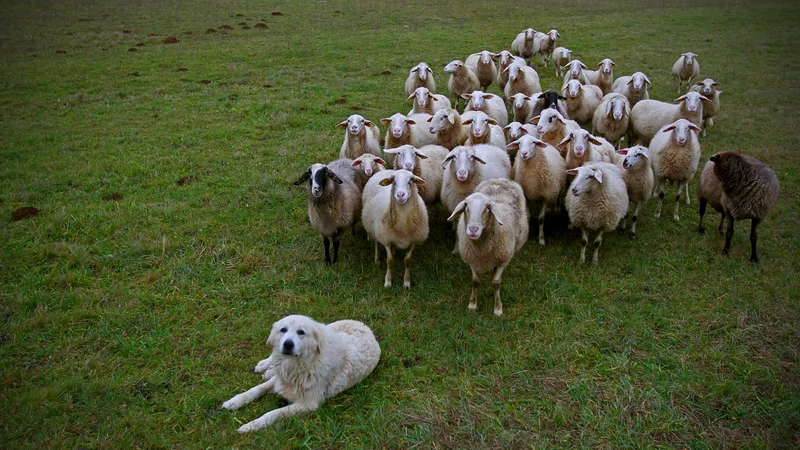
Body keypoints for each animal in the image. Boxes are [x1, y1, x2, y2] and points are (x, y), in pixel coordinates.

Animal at [219, 314, 382, 430]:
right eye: (283, 330)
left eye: (301, 332)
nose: (288, 344)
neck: (300, 365)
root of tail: (364, 325)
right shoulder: (281, 380)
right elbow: (256, 389)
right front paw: (234, 401)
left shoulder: (307, 404)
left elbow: (272, 414)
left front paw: (251, 426)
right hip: (327, 328)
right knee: (273, 358)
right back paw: (264, 366)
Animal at [446, 178, 528, 316]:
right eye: (466, 205)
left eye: (488, 207)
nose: (473, 230)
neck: (482, 248)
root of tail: (500, 179)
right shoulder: (472, 259)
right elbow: (475, 281)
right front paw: (472, 305)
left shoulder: (503, 259)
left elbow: (496, 283)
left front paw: (498, 308)